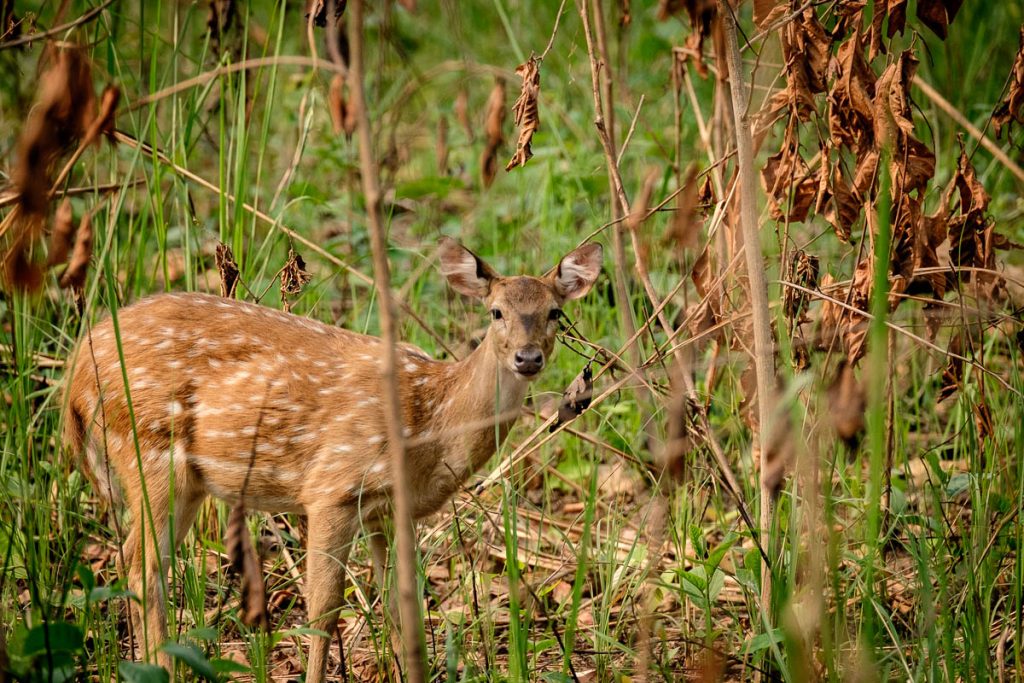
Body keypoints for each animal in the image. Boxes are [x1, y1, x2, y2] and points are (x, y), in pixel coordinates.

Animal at [61, 237, 598, 679]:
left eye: (555, 312)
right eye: (495, 311)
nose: (527, 359)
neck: (428, 424)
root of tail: (76, 372)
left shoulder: (390, 510)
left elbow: (402, 603)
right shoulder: (332, 489)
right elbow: (324, 608)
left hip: (185, 479)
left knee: (140, 560)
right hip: (149, 450)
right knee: (140, 563)